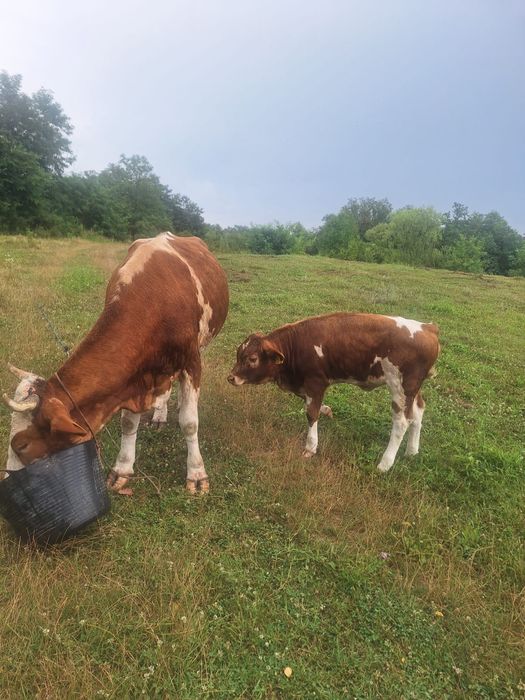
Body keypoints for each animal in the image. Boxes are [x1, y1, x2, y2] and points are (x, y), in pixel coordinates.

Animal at [3, 232, 229, 494]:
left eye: (21, 445)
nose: (8, 481)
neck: (153, 303)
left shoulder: (191, 362)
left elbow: (190, 423)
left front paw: (197, 474)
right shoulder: (132, 379)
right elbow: (128, 424)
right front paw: (122, 469)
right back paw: (159, 413)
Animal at [228, 313, 439, 472]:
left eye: (252, 359)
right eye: (238, 354)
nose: (231, 377)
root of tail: (428, 328)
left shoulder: (315, 381)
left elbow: (311, 413)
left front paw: (310, 447)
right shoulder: (306, 385)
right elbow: (313, 405)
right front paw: (327, 410)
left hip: (399, 387)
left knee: (402, 422)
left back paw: (385, 464)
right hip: (413, 388)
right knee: (418, 411)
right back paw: (412, 451)